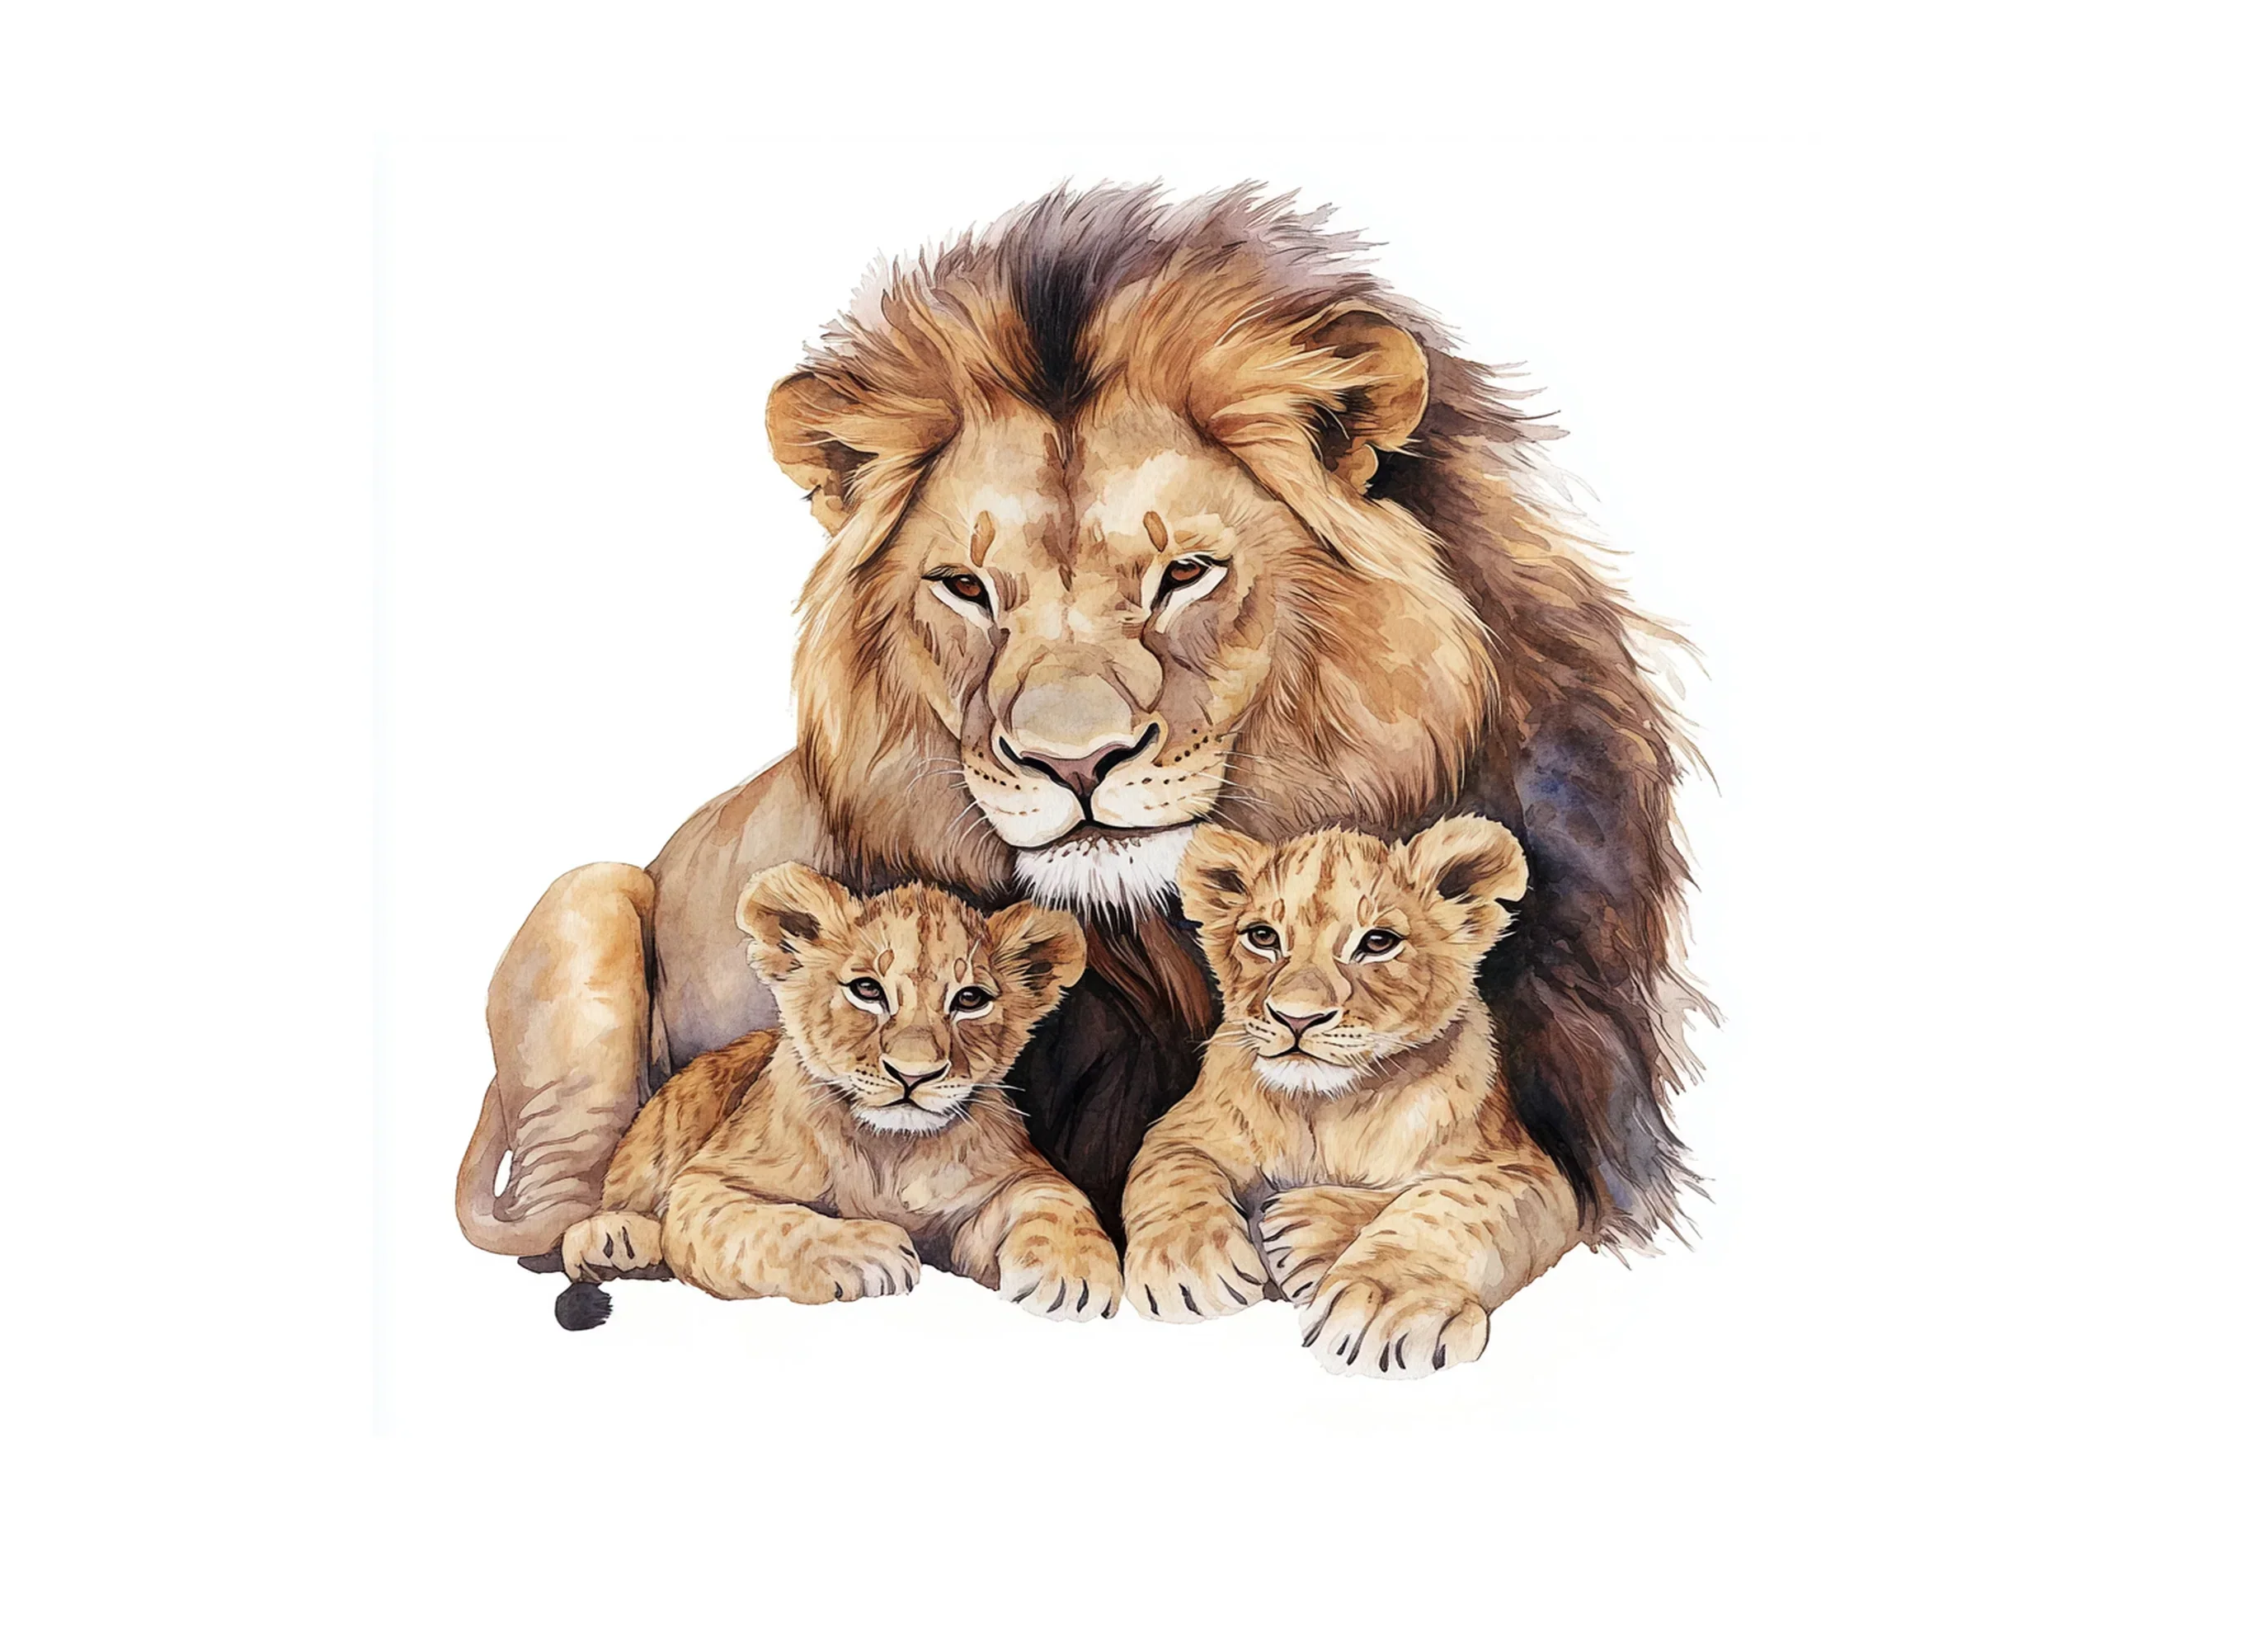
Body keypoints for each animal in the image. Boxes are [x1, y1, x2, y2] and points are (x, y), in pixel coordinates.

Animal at [456, 183, 1703, 1267]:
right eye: (966, 589)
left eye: (1184, 574)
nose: (1072, 760)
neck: (1156, 950)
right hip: (587, 905)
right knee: (564, 1186)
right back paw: (611, 1238)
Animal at [552, 865, 1119, 1328]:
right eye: (867, 990)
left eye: (970, 1000)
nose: (913, 1075)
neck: (893, 1152)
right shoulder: (708, 1182)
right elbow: (776, 1225)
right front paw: (868, 1250)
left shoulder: (998, 1190)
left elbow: (1055, 1194)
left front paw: (1077, 1273)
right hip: (672, 1119)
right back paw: (617, 1240)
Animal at [1119, 818, 1578, 1378]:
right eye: (1262, 937)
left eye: (1378, 942)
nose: (1296, 1017)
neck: (1325, 1108)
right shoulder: (1185, 1126)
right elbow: (1171, 1172)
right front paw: (1187, 1262)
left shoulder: (1529, 1170)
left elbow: (1443, 1204)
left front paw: (1382, 1302)